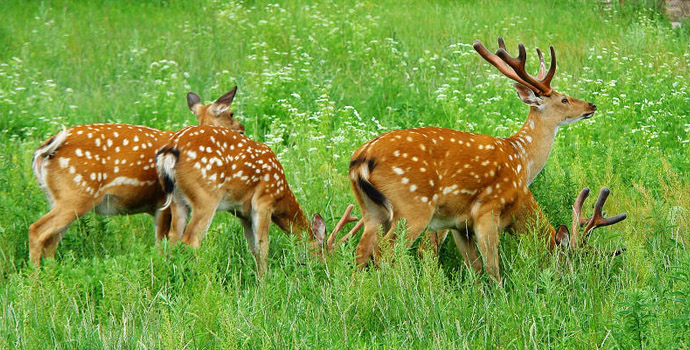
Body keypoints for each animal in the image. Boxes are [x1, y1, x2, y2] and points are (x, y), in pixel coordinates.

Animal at [29, 86, 245, 264]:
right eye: (231, 113)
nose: (243, 129)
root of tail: (44, 151)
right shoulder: (162, 204)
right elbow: (162, 243)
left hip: (58, 198)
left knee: (51, 241)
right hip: (75, 194)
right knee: (37, 230)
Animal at [156, 126, 360, 276]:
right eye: (323, 253)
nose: (327, 271)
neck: (281, 193)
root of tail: (171, 150)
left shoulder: (242, 213)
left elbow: (253, 248)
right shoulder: (264, 202)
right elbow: (263, 246)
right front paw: (264, 282)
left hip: (177, 200)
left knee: (172, 237)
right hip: (205, 197)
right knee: (191, 240)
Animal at [350, 37, 624, 282]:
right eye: (564, 99)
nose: (591, 105)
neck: (520, 157)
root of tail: (361, 159)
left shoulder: (459, 224)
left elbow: (475, 267)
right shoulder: (484, 212)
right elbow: (490, 266)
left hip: (372, 211)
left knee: (362, 252)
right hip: (413, 206)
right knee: (387, 253)